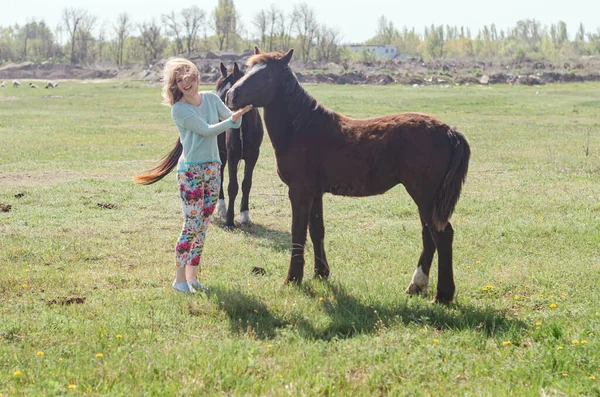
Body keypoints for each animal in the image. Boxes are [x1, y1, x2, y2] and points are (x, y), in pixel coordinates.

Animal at [214, 63, 264, 227]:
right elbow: (232, 186)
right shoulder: (232, 156)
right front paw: (230, 220)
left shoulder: (253, 156)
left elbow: (246, 184)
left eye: (227, 93)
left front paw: (245, 215)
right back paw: (222, 208)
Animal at [225, 48, 468, 304]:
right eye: (248, 70)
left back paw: (443, 295)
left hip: (425, 197)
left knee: (442, 235)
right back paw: (417, 286)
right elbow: (317, 231)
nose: (231, 96)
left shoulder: (299, 191)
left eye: (267, 76)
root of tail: (449, 132)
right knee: (429, 236)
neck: (303, 128)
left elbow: (298, 231)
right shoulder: (315, 193)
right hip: (425, 199)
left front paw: (292, 279)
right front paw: (320, 274)